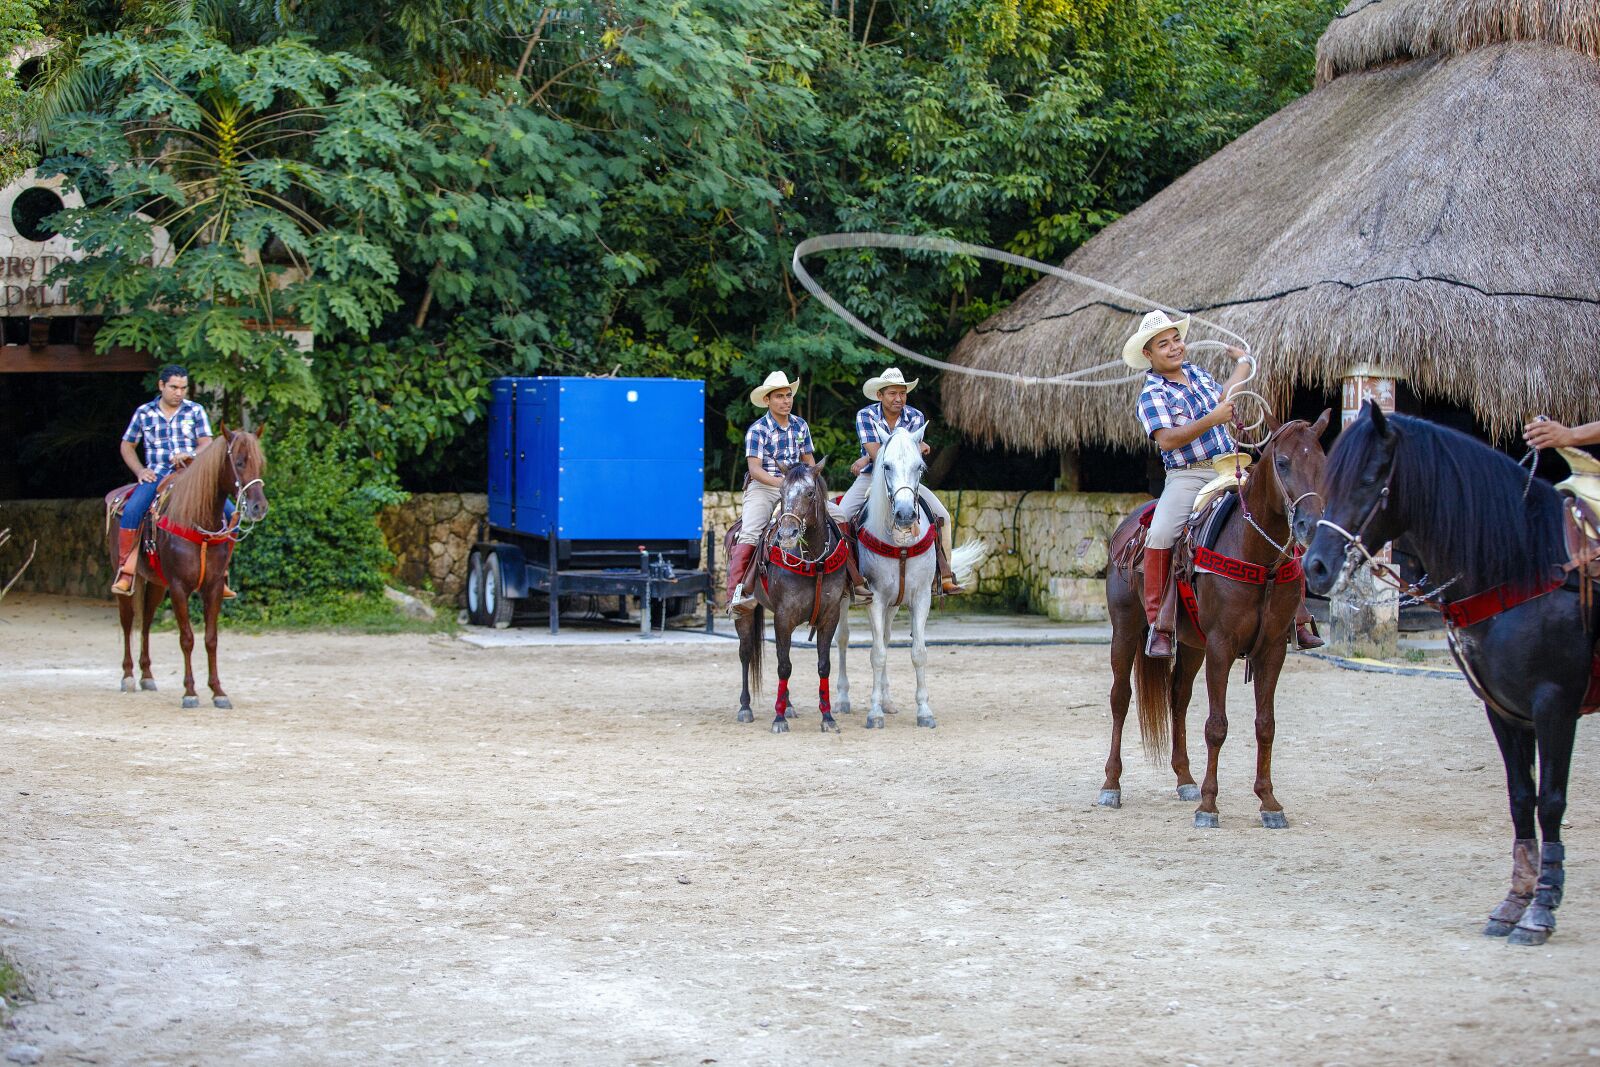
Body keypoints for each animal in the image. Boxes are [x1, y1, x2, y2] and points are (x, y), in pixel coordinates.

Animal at [108, 425, 268, 710]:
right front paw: (190, 692)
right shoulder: (179, 588)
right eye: (239, 462)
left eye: (260, 463)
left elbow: (211, 639)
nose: (259, 507)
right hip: (129, 581)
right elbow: (187, 638)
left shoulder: (213, 587)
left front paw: (218, 691)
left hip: (157, 585)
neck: (198, 521)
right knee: (127, 622)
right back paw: (128, 676)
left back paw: (147, 676)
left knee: (146, 622)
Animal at [729, 460, 851, 735]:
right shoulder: (783, 617)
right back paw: (745, 708)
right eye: (782, 493)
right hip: (746, 613)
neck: (814, 561)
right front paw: (778, 718)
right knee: (745, 652)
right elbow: (784, 666)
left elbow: (823, 664)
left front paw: (827, 717)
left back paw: (789, 705)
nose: (787, 534)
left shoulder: (830, 616)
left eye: (810, 493)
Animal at [838, 422, 985, 729]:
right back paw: (843, 699)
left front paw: (924, 711)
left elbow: (917, 652)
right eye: (886, 466)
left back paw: (888, 700)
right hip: (845, 599)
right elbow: (877, 654)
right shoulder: (875, 599)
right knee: (843, 638)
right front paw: (874, 714)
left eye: (920, 466)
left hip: (895, 604)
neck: (901, 543)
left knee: (885, 637)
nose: (905, 514)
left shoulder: (919, 598)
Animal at [1100, 412, 1324, 831]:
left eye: (1323, 463)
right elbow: (1216, 726)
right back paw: (1111, 785)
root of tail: (1128, 528)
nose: (1309, 525)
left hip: (1190, 644)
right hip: (1125, 629)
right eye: (1283, 462)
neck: (1259, 559)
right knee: (1120, 698)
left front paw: (1269, 803)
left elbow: (1265, 724)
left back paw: (1185, 779)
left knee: (1178, 697)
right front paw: (1209, 806)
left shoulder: (1272, 649)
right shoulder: (1222, 645)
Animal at [1305, 404, 1593, 947]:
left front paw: (1541, 908)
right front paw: (1513, 902)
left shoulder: (1555, 703)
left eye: (1369, 480)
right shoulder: (1504, 707)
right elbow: (1521, 798)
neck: (1526, 566)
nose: (1315, 566)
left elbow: (1550, 801)